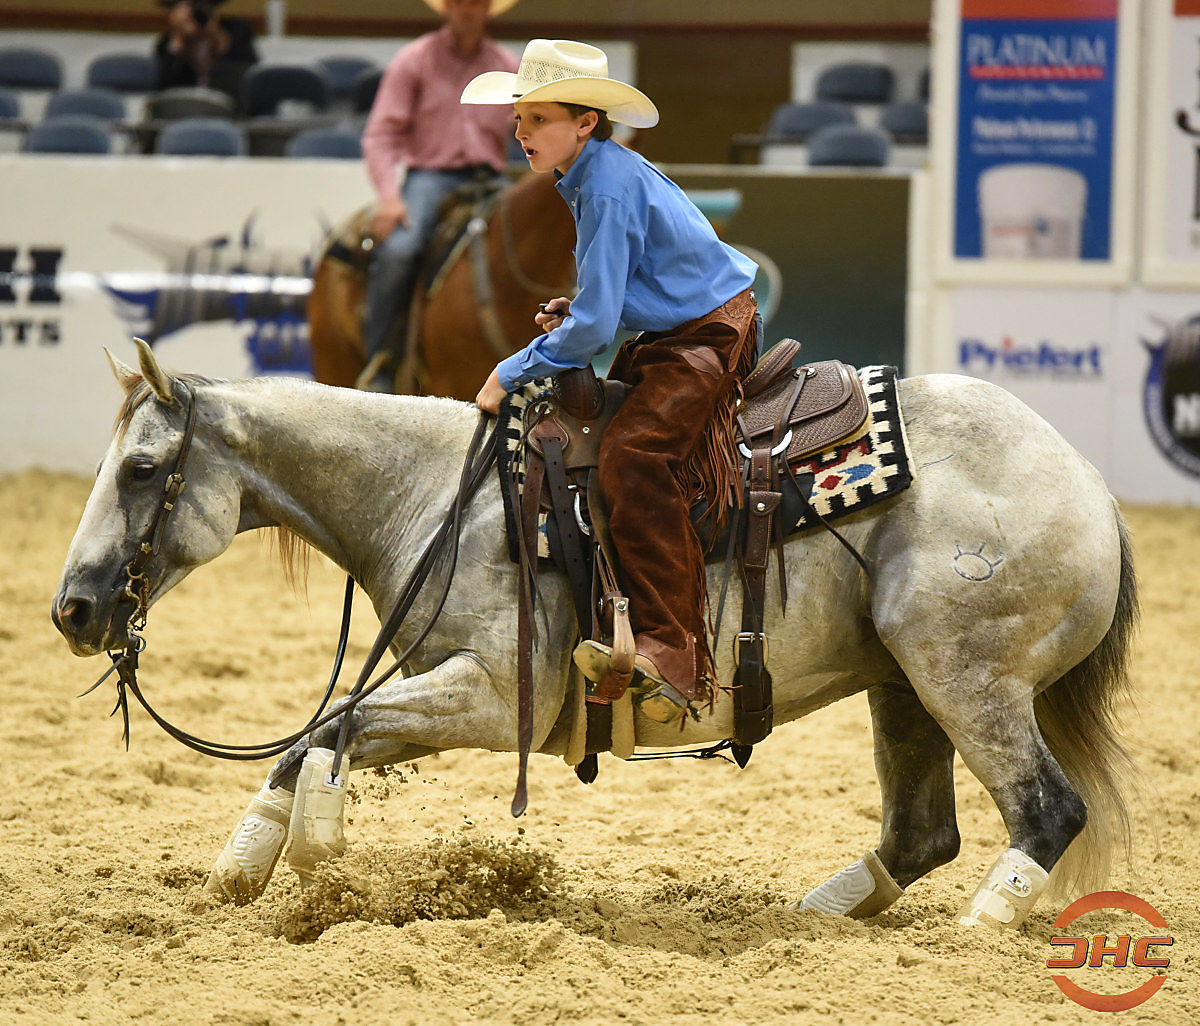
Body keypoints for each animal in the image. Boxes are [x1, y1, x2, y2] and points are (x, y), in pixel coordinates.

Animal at [54, 343, 1132, 931]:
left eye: (144, 469)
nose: (74, 608)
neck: (438, 492)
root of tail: (1090, 482)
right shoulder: (444, 690)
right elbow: (319, 738)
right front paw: (243, 872)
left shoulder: (496, 699)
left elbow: (328, 731)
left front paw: (308, 855)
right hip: (901, 685)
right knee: (922, 834)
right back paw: (815, 915)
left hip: (960, 674)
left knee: (1047, 810)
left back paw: (979, 925)